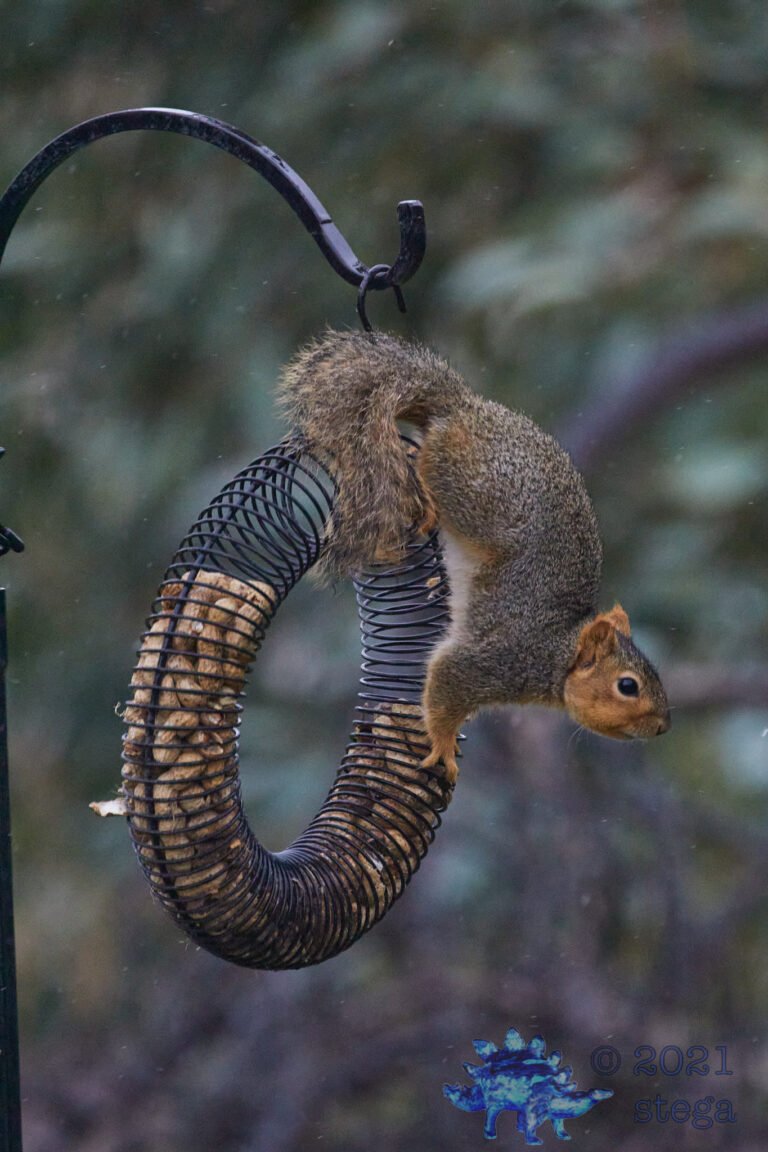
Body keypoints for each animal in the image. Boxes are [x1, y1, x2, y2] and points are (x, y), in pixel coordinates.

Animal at [278, 329, 670, 785]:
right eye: (628, 686)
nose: (663, 727)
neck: (558, 651)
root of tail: (467, 407)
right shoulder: (496, 662)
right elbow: (447, 681)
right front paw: (444, 745)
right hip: (474, 493)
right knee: (428, 463)